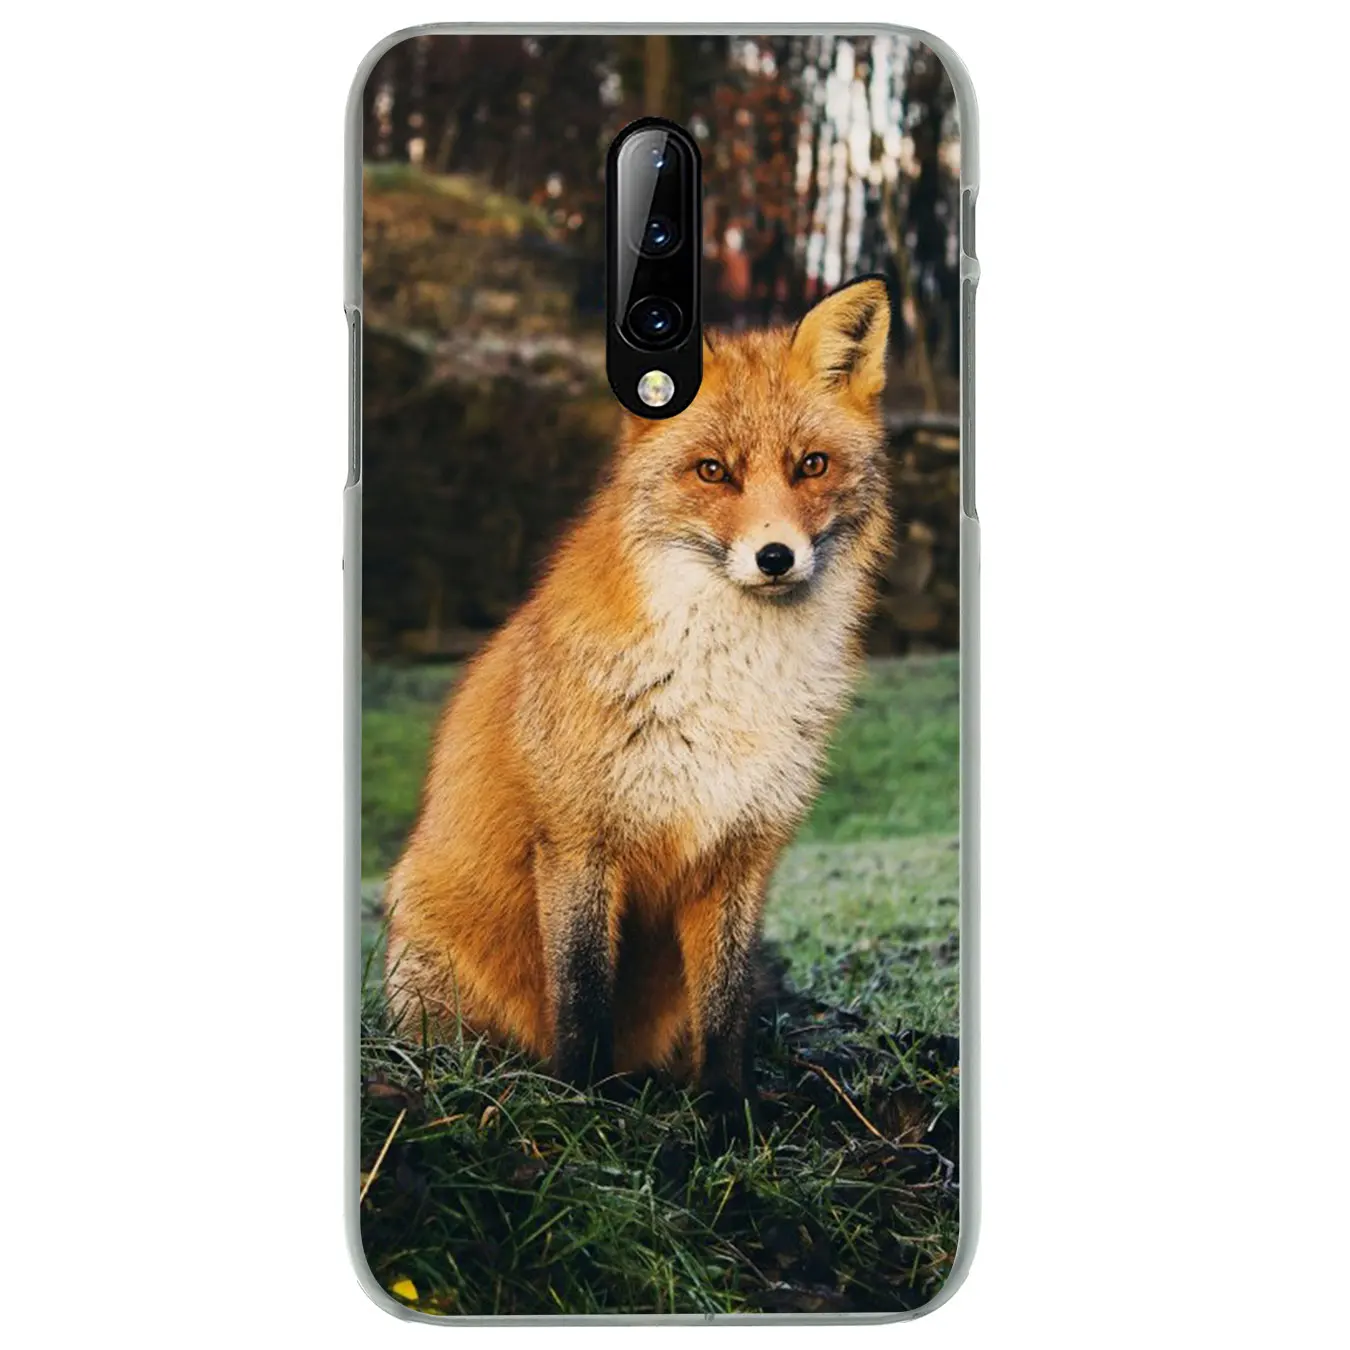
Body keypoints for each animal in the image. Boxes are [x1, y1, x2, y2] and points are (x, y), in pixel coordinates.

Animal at [383, 276, 894, 1108]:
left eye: (812, 465)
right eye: (713, 471)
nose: (776, 556)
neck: (727, 689)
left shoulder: (742, 853)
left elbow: (725, 1009)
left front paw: (727, 1113)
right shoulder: (578, 840)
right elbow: (584, 994)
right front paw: (586, 1105)